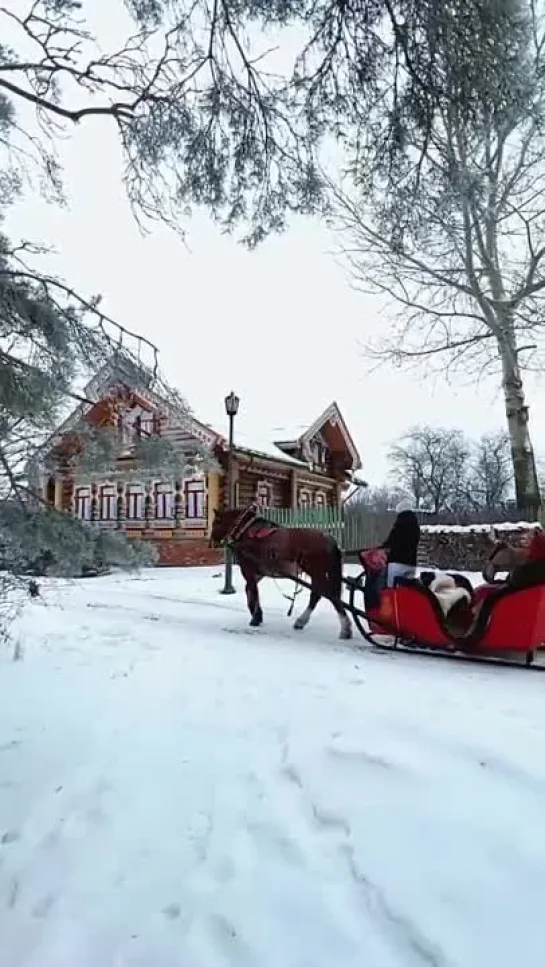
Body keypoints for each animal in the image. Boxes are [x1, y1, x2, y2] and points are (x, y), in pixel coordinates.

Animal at [208, 502, 352, 640]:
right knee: (320, 594)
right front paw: (257, 614)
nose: (212, 542)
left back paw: (343, 628)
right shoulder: (259, 573)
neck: (245, 532)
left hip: (316, 572)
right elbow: (249, 590)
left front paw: (255, 617)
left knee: (326, 595)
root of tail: (329, 539)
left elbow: (253, 591)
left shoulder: (248, 569)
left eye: (215, 523)